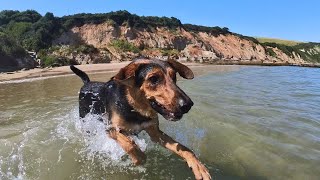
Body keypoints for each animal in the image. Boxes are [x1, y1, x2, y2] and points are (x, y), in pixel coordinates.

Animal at [70, 58, 210, 179]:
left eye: (174, 76)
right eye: (153, 79)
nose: (188, 105)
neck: (133, 107)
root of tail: (87, 83)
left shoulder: (155, 132)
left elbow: (183, 148)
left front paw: (198, 166)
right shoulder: (111, 129)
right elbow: (130, 145)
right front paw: (139, 158)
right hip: (87, 123)